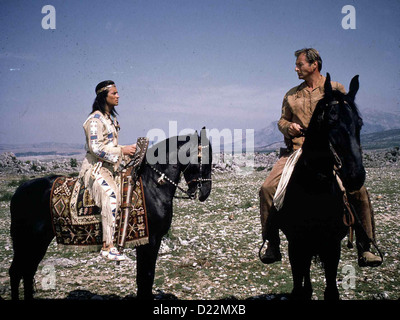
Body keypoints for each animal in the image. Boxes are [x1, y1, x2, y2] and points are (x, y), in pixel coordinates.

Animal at [8, 128, 212, 300]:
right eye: (203, 158)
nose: (205, 192)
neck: (152, 185)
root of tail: (19, 190)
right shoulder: (150, 241)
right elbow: (146, 278)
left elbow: (143, 279)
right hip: (28, 241)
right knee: (17, 272)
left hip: (37, 242)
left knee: (27, 271)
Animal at [278, 73, 366, 300]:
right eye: (330, 120)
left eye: (360, 123)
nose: (355, 176)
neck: (315, 190)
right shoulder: (296, 244)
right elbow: (299, 286)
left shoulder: (332, 245)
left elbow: (331, 290)